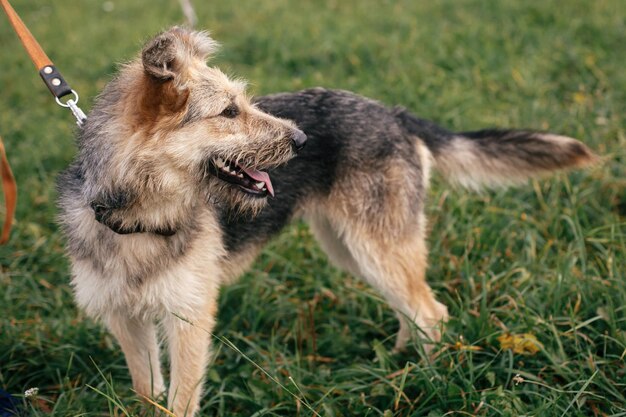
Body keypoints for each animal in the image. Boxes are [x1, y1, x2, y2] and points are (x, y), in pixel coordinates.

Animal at [57, 27, 596, 414]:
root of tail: (395, 114)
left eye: (243, 102)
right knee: (411, 309)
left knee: (431, 313)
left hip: (375, 247)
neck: (140, 219)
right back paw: (397, 364)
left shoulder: (188, 318)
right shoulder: (127, 320)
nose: (301, 140)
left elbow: (179, 400)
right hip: (351, 248)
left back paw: (427, 382)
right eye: (229, 112)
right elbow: (148, 394)